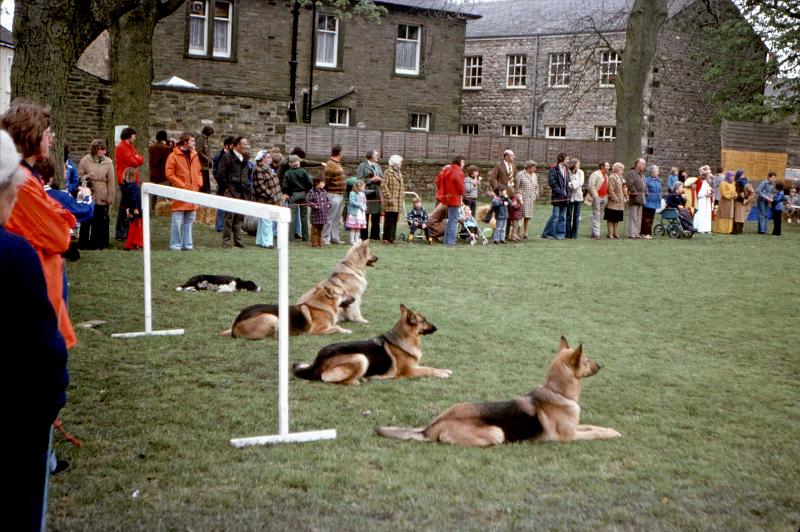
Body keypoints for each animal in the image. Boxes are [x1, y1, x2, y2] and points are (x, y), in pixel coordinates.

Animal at [220, 284, 354, 338]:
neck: (322, 305)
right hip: (273, 318)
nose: (355, 298)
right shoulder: (317, 331)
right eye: (344, 293)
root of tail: (235, 326)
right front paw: (346, 331)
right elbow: (337, 328)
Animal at [292, 306, 454, 384]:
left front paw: (445, 370)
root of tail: (318, 360)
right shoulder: (408, 371)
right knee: (329, 379)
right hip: (361, 358)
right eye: (424, 320)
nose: (437, 328)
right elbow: (428, 370)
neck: (404, 338)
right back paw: (358, 380)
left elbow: (431, 367)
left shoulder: (415, 366)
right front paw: (442, 374)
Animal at [372, 338, 620, 446]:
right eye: (586, 360)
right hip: (497, 433)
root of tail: (430, 427)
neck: (557, 392)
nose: (602, 365)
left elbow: (594, 427)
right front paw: (612, 434)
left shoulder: (576, 427)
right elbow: (594, 433)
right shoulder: (569, 437)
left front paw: (611, 429)